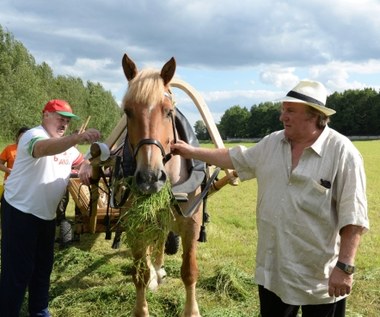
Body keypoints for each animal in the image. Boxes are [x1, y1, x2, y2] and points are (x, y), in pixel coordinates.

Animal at [117, 53, 206, 314]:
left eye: (168, 112)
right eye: (127, 111)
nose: (150, 178)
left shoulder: (191, 225)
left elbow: (189, 271)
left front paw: (192, 311)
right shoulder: (136, 226)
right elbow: (140, 274)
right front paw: (141, 309)